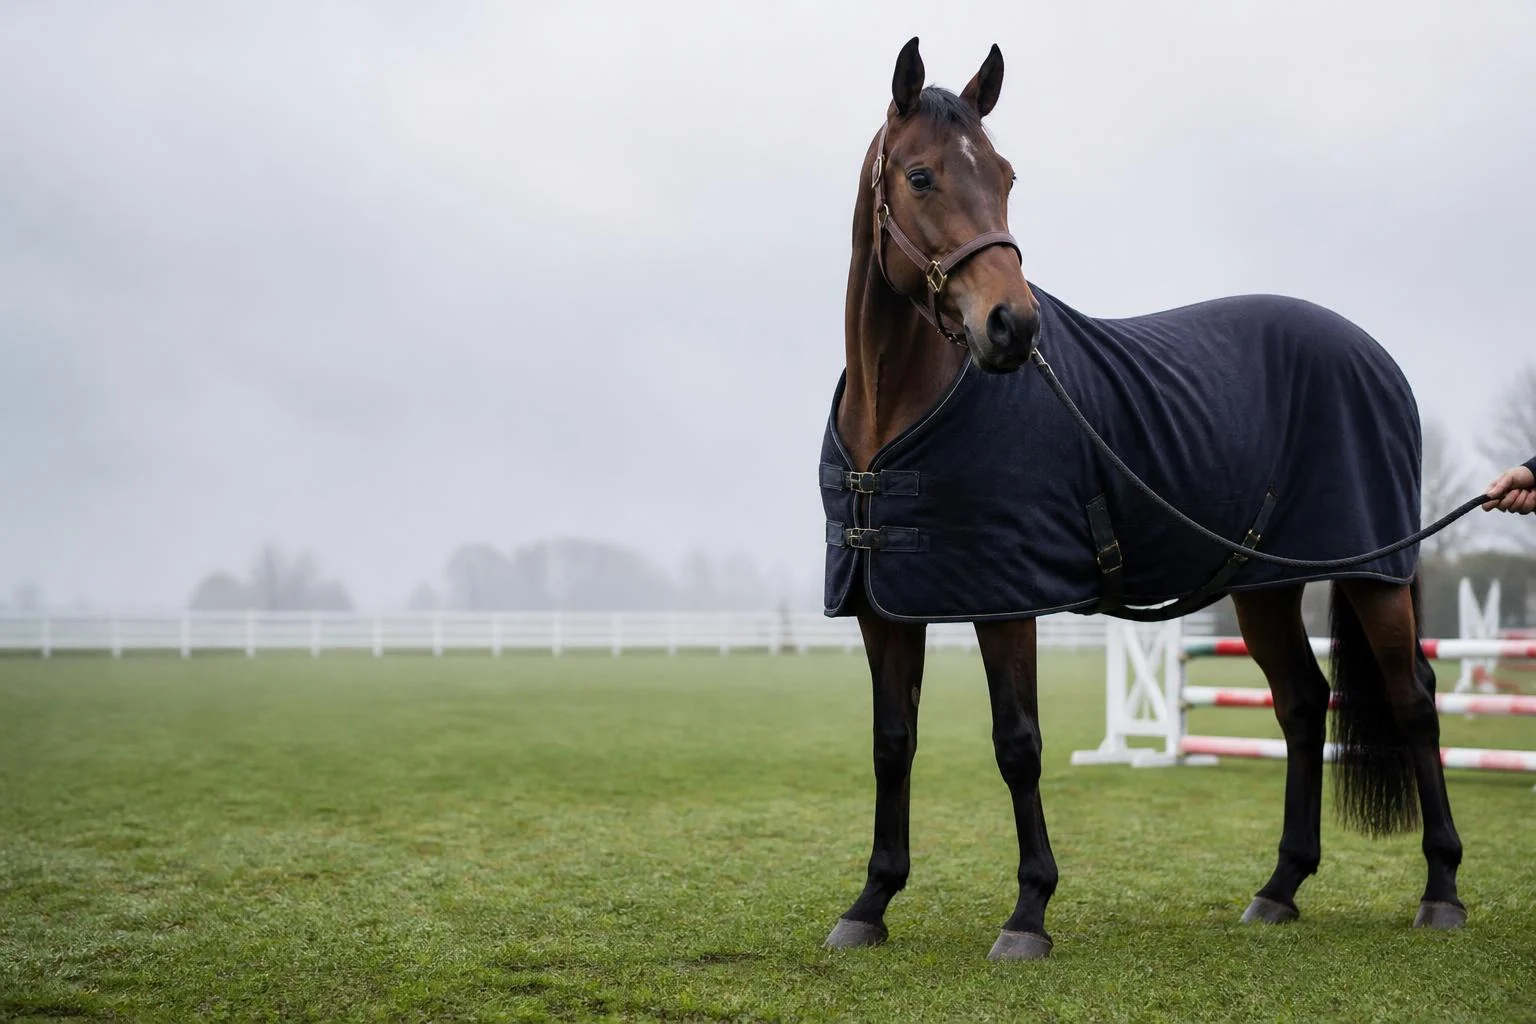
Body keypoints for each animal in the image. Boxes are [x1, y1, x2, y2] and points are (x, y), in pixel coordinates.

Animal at [821, 37, 1464, 961]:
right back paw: (1280, 887)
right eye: (919, 176)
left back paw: (1441, 888)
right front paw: (870, 902)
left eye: (1006, 176)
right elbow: (891, 744)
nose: (1013, 326)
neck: (897, 412)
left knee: (1413, 700)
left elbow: (1017, 744)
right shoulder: (886, 603)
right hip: (1264, 585)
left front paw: (1028, 913)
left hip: (1372, 575)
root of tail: (1374, 355)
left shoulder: (1004, 600)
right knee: (1303, 705)